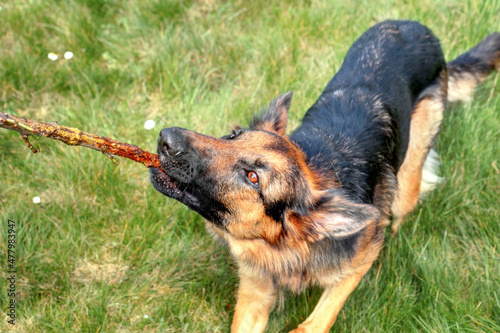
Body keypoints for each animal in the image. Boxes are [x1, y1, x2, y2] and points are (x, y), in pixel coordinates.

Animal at [149, 21, 500, 332]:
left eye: (252, 177)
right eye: (233, 136)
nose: (166, 139)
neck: (284, 248)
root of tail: (417, 28)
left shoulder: (358, 261)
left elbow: (315, 322)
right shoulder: (255, 292)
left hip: (409, 173)